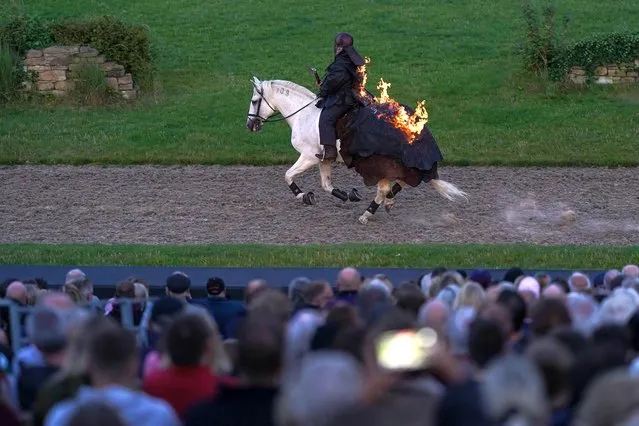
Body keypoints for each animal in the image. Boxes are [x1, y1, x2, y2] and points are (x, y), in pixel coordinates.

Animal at [248, 76, 468, 225]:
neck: (305, 115)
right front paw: (346, 195)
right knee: (402, 183)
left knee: (385, 189)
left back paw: (367, 214)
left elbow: (287, 175)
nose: (250, 125)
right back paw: (387, 202)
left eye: (254, 101)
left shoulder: (309, 157)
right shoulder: (323, 159)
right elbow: (326, 185)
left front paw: (303, 196)